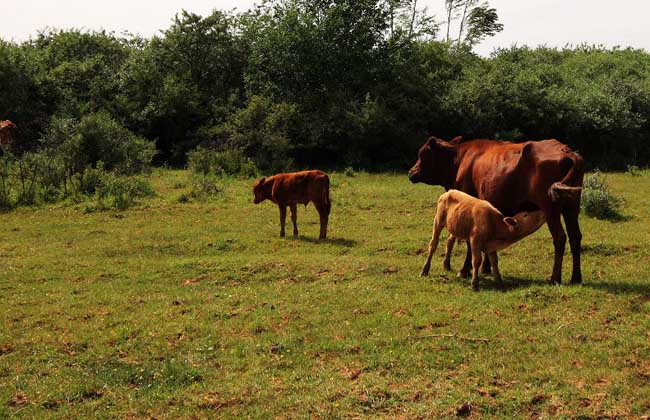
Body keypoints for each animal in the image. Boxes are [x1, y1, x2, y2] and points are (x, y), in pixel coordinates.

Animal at [404, 138, 584, 286]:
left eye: (423, 154)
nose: (410, 172)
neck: (460, 160)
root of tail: (567, 151)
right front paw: (486, 268)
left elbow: (470, 245)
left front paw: (465, 270)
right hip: (572, 207)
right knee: (575, 236)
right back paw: (576, 278)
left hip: (550, 208)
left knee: (560, 237)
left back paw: (555, 278)